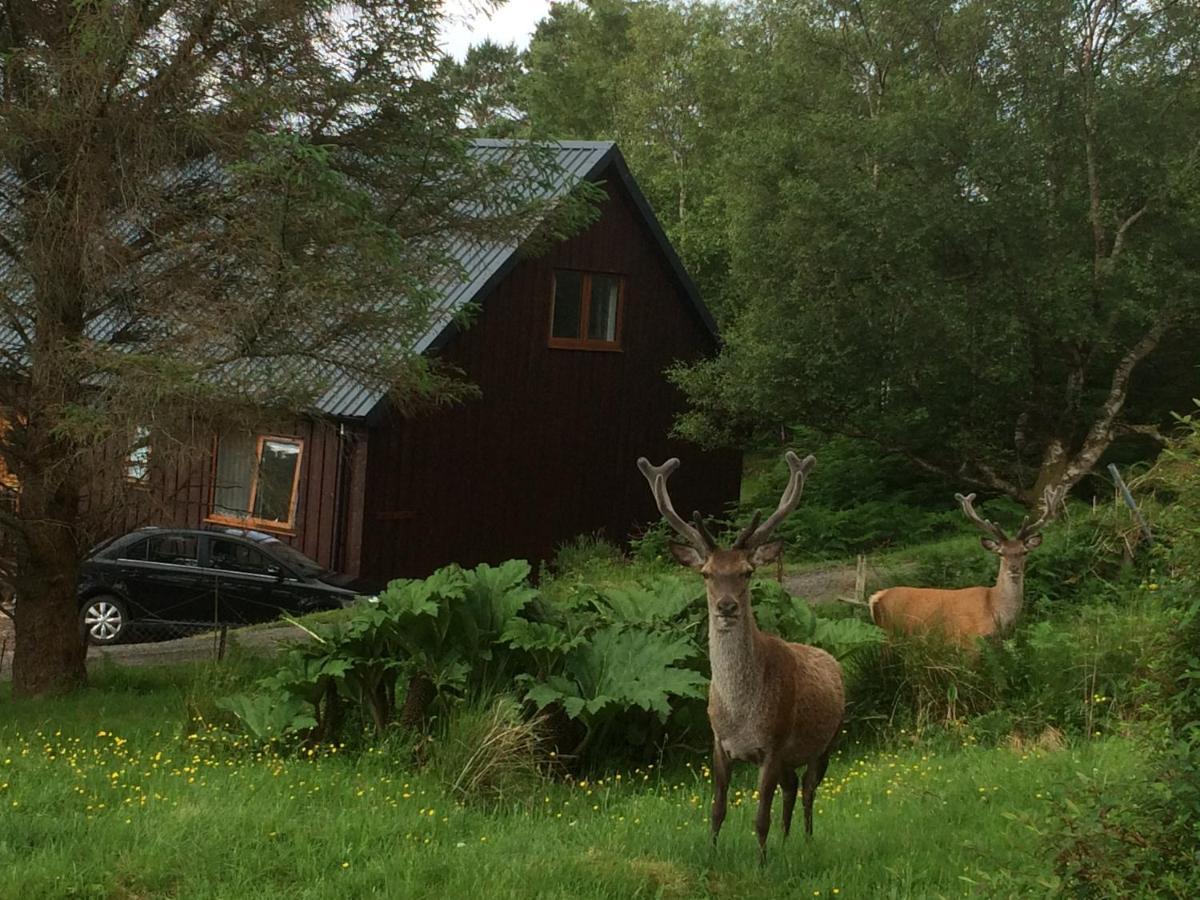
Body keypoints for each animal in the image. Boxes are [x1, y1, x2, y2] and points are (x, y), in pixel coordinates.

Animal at [638, 453, 844, 864]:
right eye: (706, 573)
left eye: (747, 572)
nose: (727, 606)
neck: (740, 714)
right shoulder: (719, 744)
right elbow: (717, 808)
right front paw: (712, 853)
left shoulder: (773, 743)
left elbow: (760, 816)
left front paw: (761, 864)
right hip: (792, 757)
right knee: (792, 788)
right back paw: (787, 841)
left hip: (826, 740)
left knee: (809, 789)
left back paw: (807, 841)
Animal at [868, 487, 1065, 648]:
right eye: (1001, 553)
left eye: (1024, 552)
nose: (1014, 568)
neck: (994, 610)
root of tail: (876, 597)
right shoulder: (967, 640)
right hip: (892, 633)